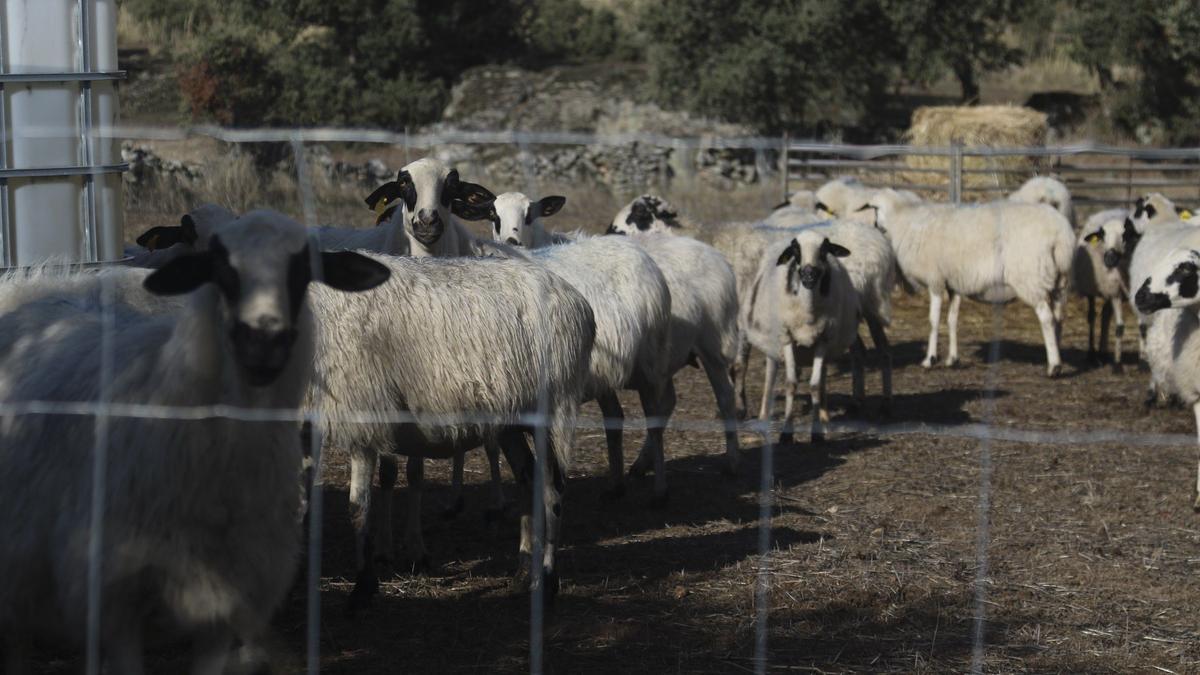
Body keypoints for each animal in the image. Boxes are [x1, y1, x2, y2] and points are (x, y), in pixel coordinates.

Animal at [304, 248, 595, 605]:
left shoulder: (364, 418)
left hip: (554, 408)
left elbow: (358, 507)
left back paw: (548, 582)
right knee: (528, 479)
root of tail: (577, 300)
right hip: (512, 419)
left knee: (552, 489)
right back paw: (524, 574)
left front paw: (363, 588)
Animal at [868, 187, 1075, 379]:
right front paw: (952, 359)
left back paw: (1053, 367)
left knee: (1046, 318)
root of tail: (1061, 235)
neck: (905, 220)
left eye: (876, 211)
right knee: (1058, 318)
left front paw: (930, 359)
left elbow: (933, 321)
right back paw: (1057, 355)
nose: (875, 226)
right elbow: (952, 320)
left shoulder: (936, 280)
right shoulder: (953, 284)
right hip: (1059, 282)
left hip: (1031, 277)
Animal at [1070, 208, 1132, 367]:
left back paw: (1103, 353)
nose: (1109, 259)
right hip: (1092, 288)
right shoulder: (1115, 291)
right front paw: (1118, 364)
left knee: (1105, 314)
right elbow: (1119, 327)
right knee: (1092, 316)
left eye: (1125, 235)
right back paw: (1092, 354)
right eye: (1103, 236)